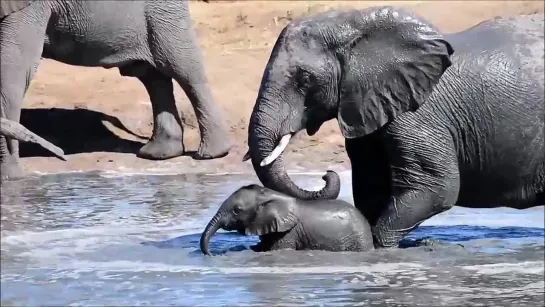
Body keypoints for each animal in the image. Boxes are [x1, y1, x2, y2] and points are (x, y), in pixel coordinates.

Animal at [0, 0, 231, 180]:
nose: (61, 154)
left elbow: (14, 70)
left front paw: (12, 178)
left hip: (164, 12)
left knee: (183, 68)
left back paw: (211, 154)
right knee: (152, 76)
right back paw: (159, 153)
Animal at [243, 6, 544, 248]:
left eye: (304, 79)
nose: (326, 174)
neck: (357, 27)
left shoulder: (418, 114)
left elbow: (435, 188)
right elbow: (372, 188)